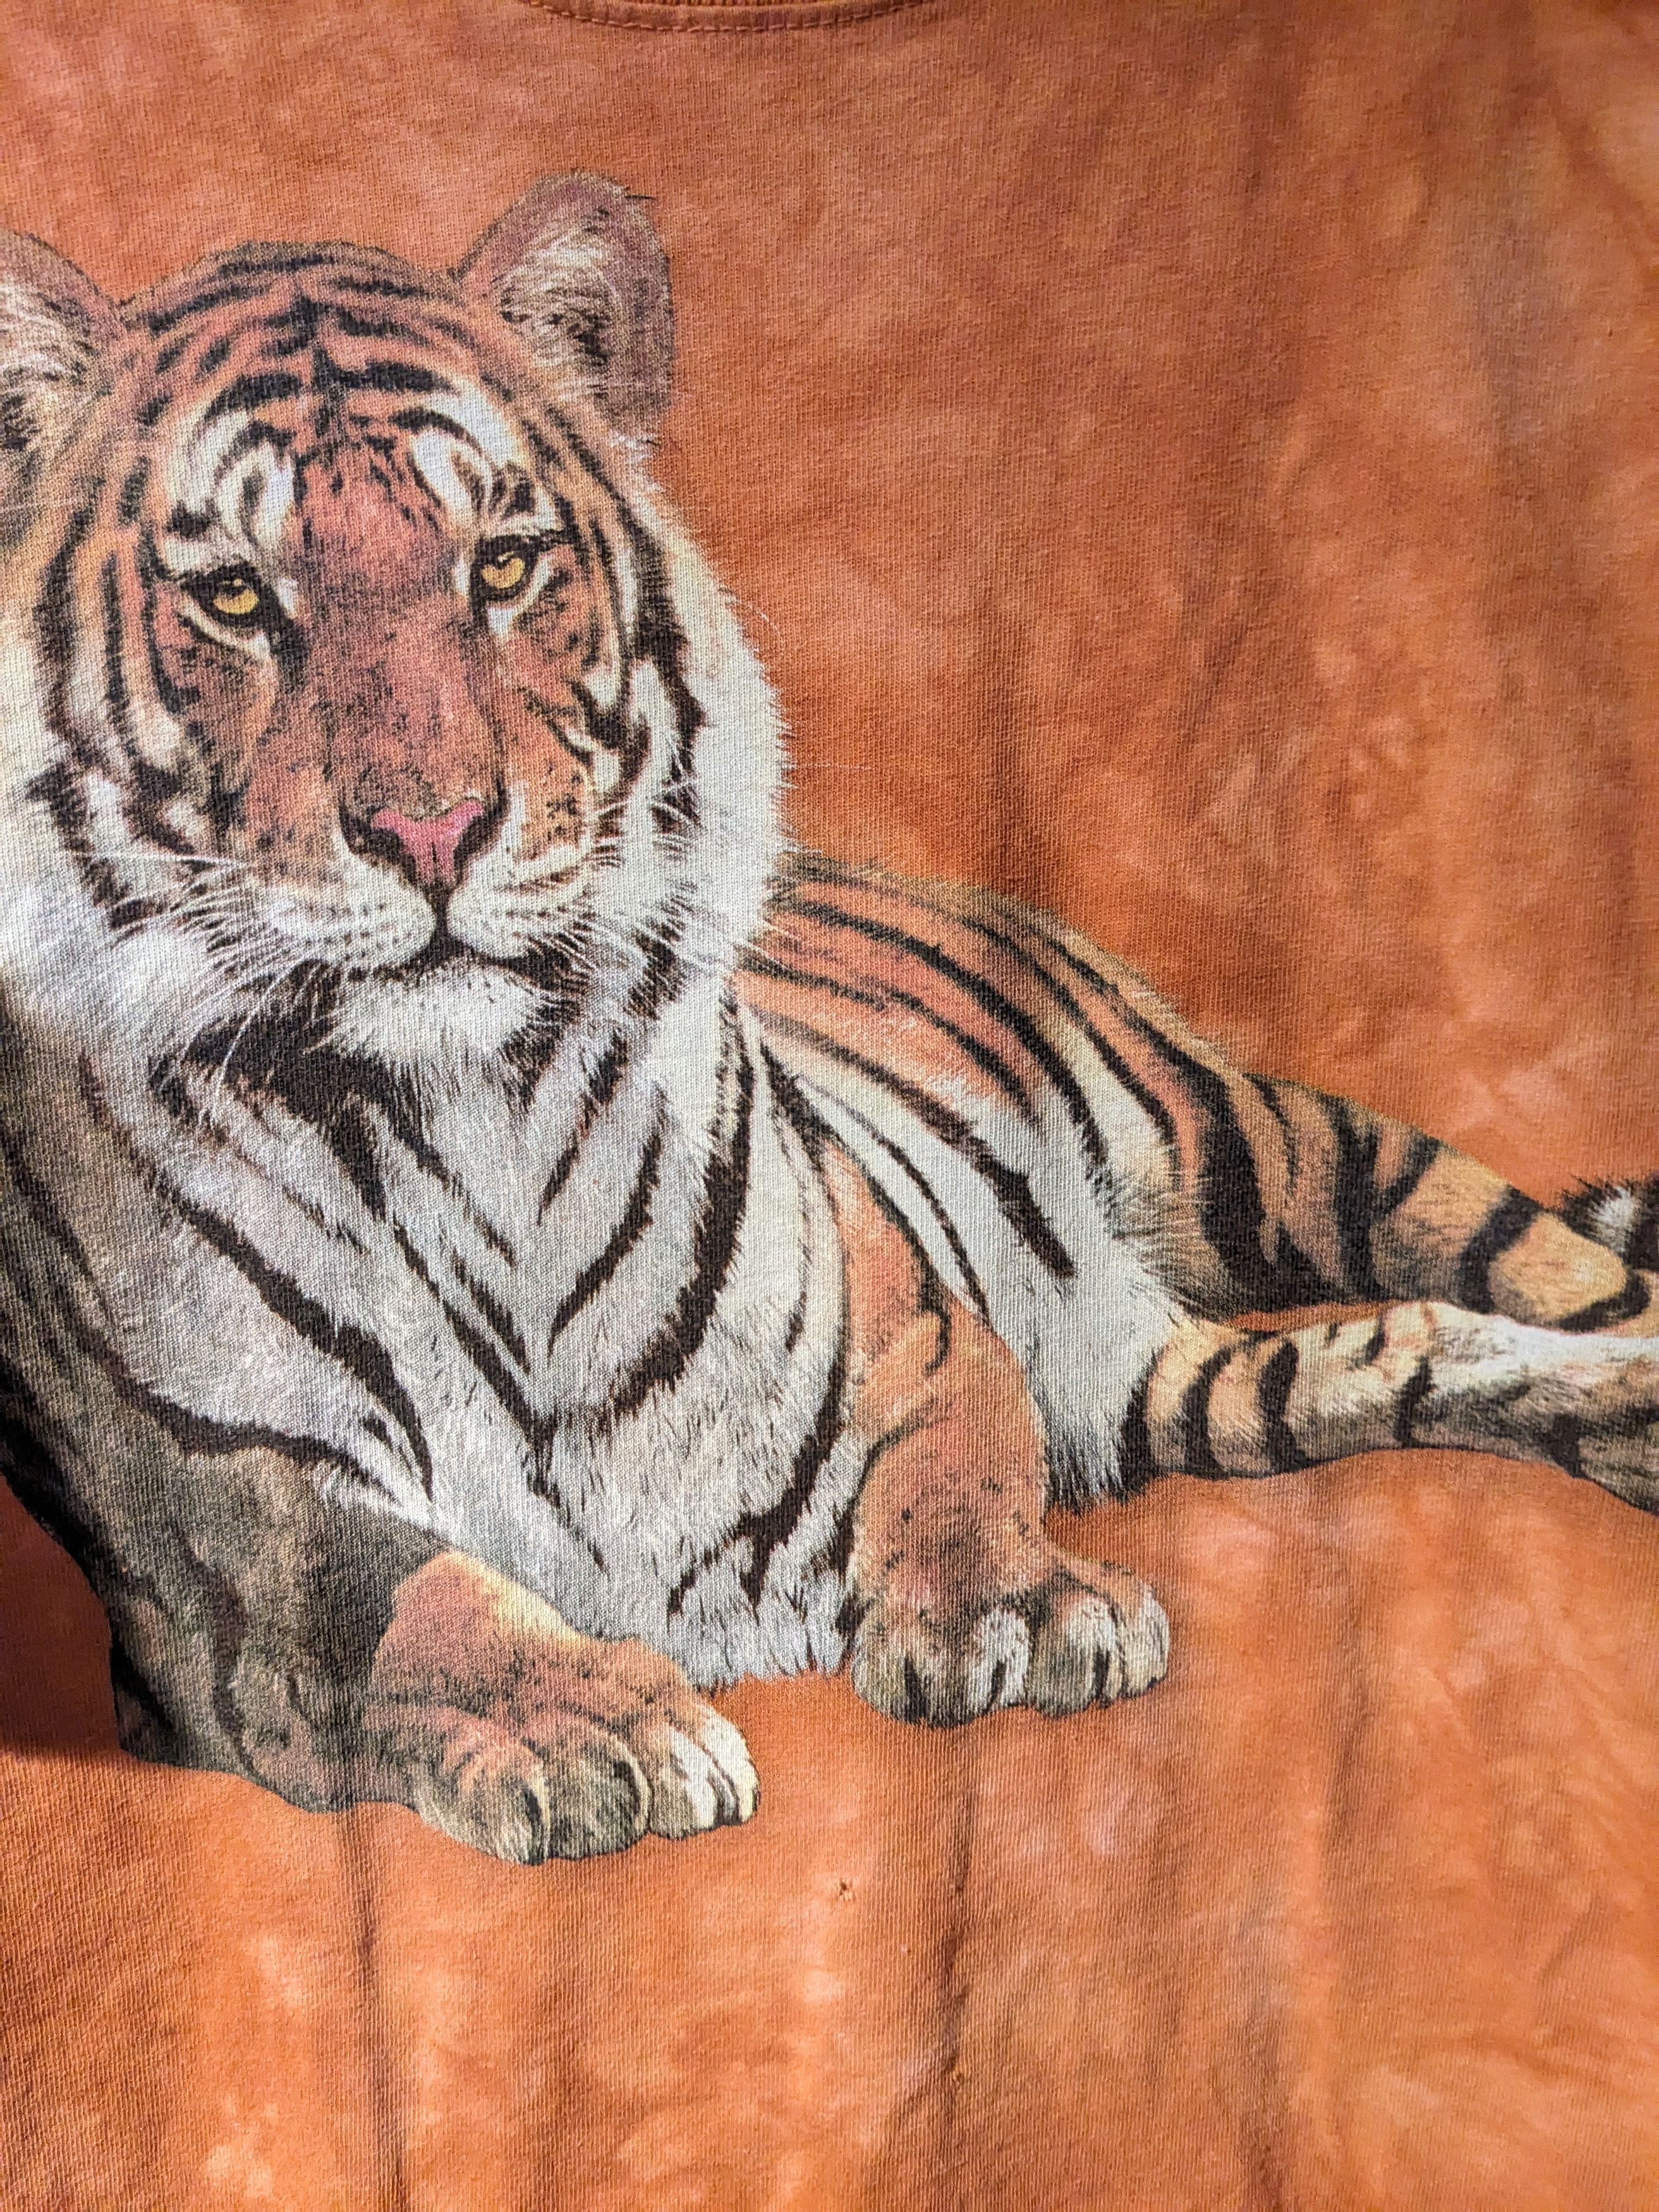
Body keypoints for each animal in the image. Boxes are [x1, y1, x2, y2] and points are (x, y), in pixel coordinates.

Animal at [0, 175, 1654, 1866]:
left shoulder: (920, 1336)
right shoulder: (232, 1524)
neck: (471, 1120)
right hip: (1189, 1380)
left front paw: (1018, 1614)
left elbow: (952, 1472)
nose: (435, 826)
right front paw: (595, 1728)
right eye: (235, 599)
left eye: (504, 565)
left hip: (1268, 1148)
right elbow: (423, 1609)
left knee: (1540, 1276)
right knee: (1396, 1346)